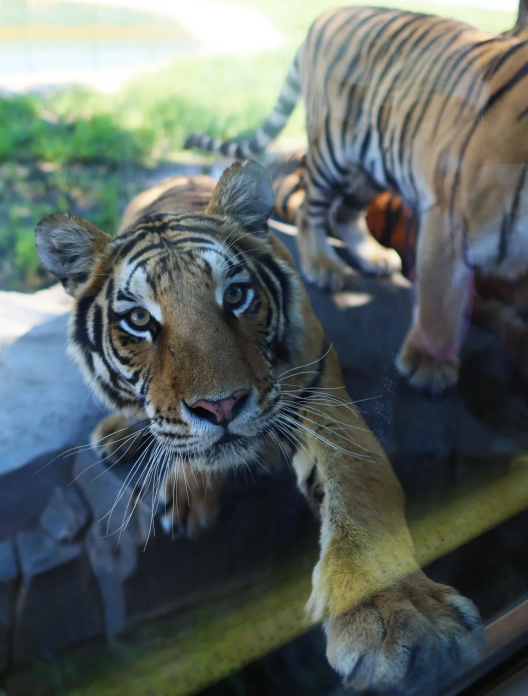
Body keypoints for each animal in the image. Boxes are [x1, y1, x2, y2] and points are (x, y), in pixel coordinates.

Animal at [35, 161, 483, 695]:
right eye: (140, 319)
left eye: (236, 295)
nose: (222, 406)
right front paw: (185, 492)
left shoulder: (322, 398)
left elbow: (360, 496)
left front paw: (400, 615)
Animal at [185, 6, 528, 394]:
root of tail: (324, 17)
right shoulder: (449, 215)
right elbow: (442, 296)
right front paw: (429, 365)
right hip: (334, 149)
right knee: (310, 209)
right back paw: (322, 264)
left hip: (371, 167)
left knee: (345, 213)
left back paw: (374, 257)